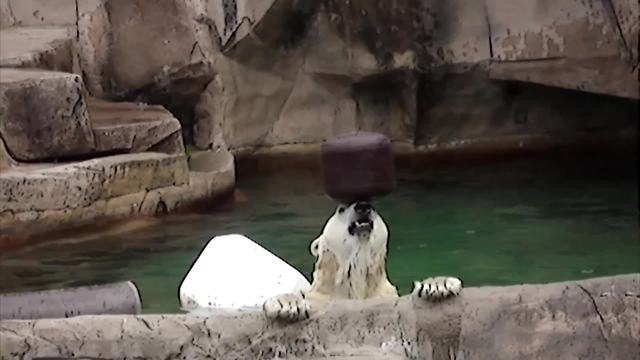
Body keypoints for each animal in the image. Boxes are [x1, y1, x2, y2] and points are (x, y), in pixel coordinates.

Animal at [262, 201, 462, 322]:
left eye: (374, 207)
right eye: (341, 209)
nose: (363, 206)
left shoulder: (386, 296)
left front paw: (438, 284)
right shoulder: (321, 297)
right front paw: (287, 304)